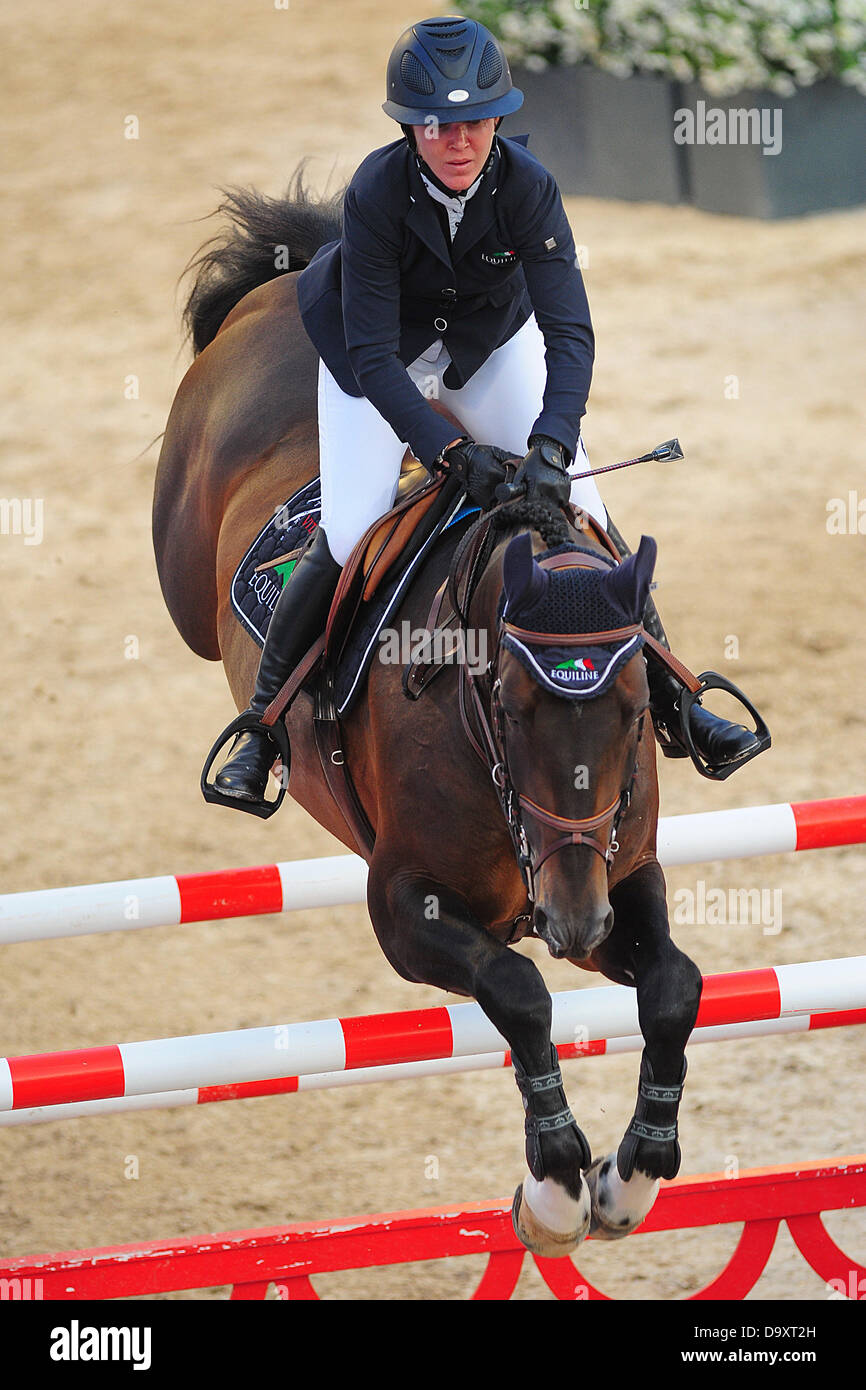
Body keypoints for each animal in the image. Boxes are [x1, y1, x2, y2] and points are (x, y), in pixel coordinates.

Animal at [154, 176, 706, 1262]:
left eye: (634, 710)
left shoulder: (621, 873)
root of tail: (283, 286)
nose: (569, 920)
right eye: (504, 703)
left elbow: (674, 984)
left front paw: (633, 1174)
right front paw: (552, 1188)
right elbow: (522, 993)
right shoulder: (404, 906)